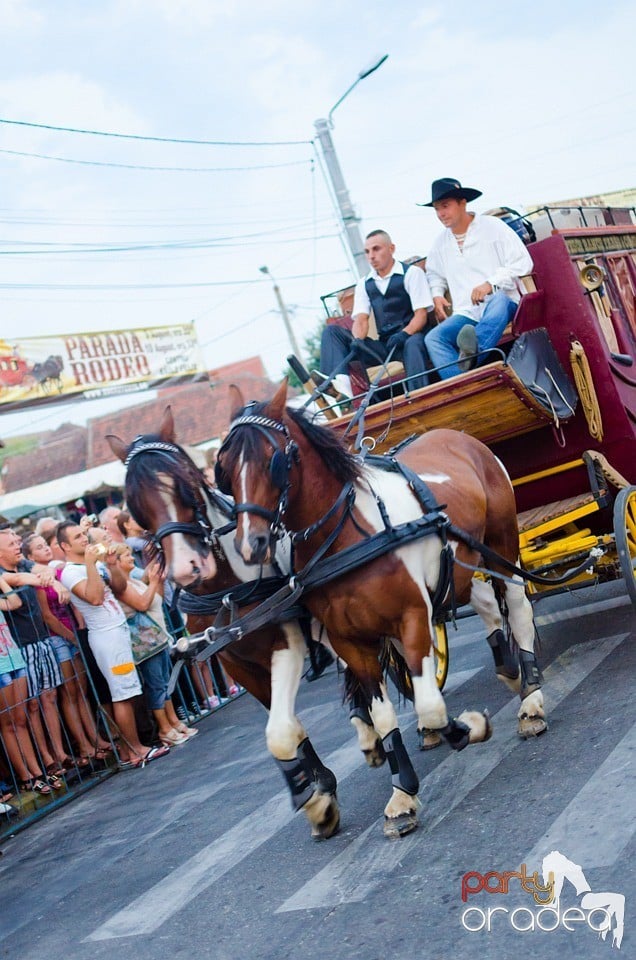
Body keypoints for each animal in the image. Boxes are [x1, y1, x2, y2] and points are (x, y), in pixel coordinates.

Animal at [106, 406, 388, 840]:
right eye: (134, 505)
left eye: (190, 485)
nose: (188, 568)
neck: (226, 591)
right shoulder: (234, 662)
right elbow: (286, 727)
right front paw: (317, 790)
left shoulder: (287, 643)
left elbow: (280, 731)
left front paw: (319, 800)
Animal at [214, 378, 548, 836]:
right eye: (225, 470)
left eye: (273, 460)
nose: (252, 545)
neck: (348, 536)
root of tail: (458, 435)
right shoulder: (349, 641)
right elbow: (386, 715)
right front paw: (403, 793)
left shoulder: (413, 617)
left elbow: (430, 706)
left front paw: (467, 728)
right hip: (459, 569)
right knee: (486, 606)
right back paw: (510, 672)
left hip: (500, 547)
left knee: (517, 607)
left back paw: (531, 695)